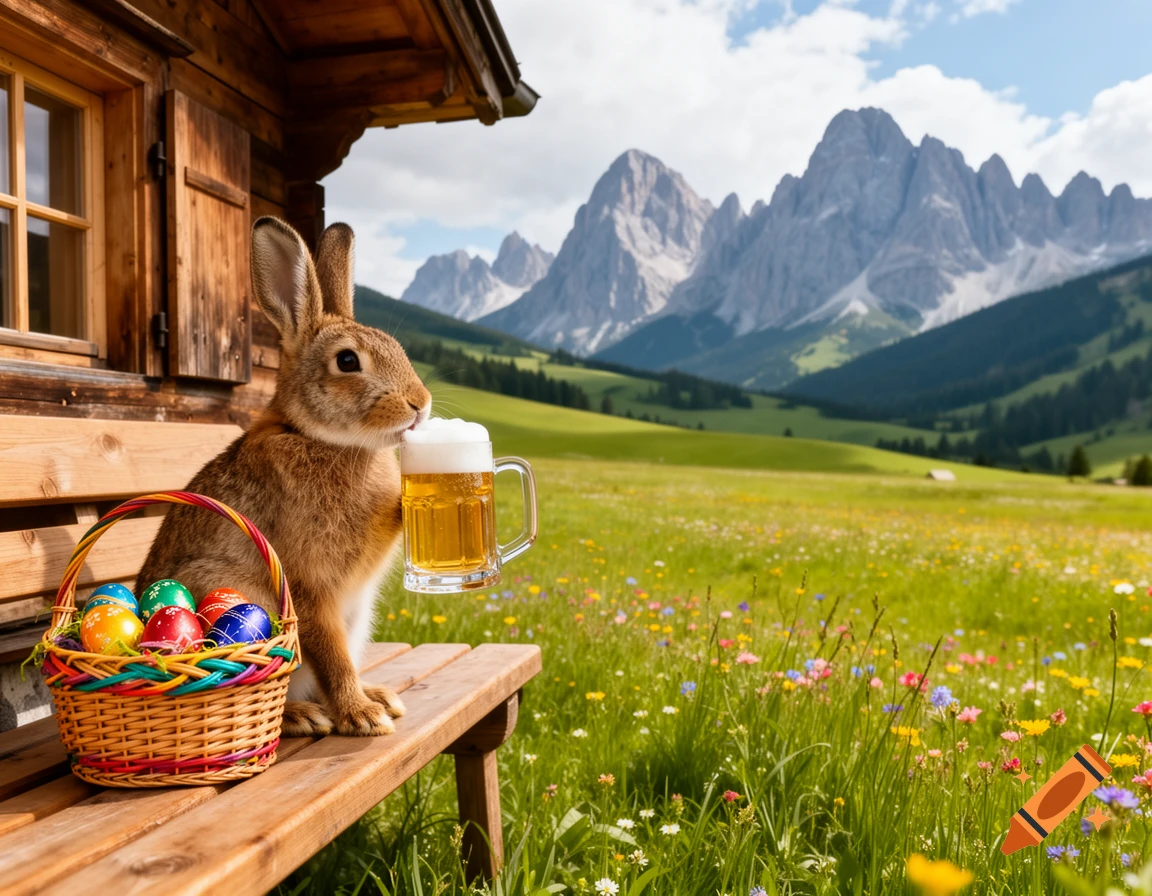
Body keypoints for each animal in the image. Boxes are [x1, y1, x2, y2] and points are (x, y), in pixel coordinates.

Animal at [136, 216, 432, 737]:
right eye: (348, 361)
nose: (420, 403)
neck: (319, 437)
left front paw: (368, 706)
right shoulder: (308, 590)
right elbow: (332, 655)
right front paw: (362, 717)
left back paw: (376, 694)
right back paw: (309, 715)